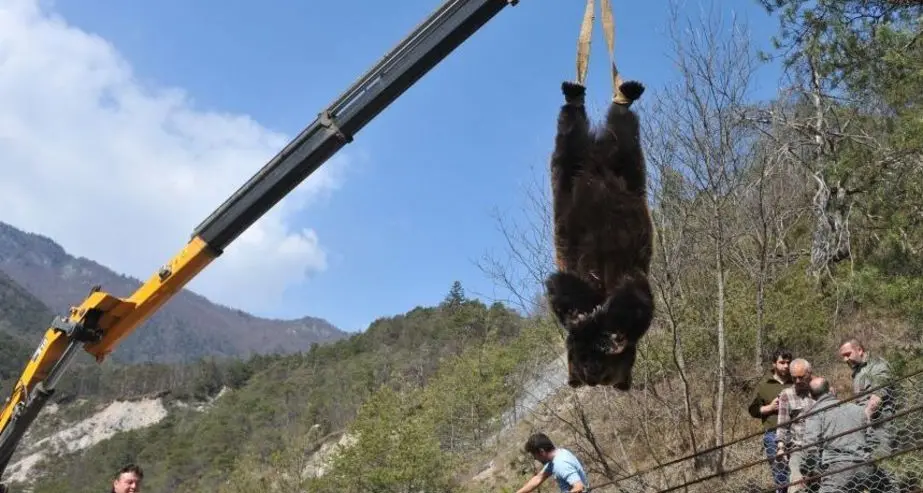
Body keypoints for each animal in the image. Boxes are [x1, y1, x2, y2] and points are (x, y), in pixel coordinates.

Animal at [544, 79, 655, 391]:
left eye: (603, 373)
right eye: (586, 367)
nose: (591, 372)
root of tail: (596, 156)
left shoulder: (630, 280)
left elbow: (634, 303)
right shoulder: (576, 275)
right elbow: (562, 289)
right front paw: (580, 315)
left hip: (623, 170)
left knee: (622, 131)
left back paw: (621, 94)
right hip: (572, 178)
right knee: (571, 136)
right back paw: (580, 95)